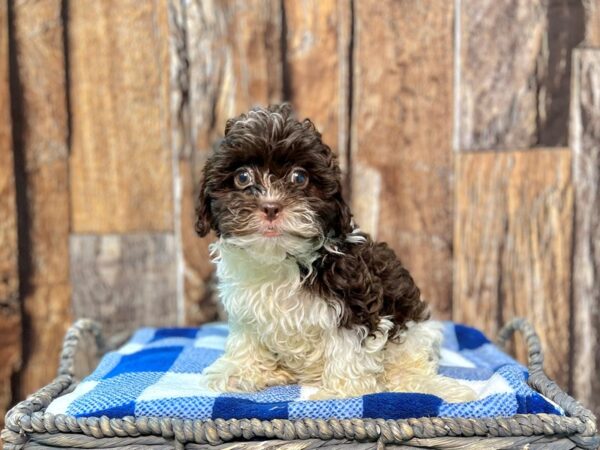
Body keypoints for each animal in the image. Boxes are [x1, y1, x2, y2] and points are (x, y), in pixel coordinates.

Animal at [196, 104, 474, 400]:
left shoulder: (354, 299)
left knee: (406, 366)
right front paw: (238, 371)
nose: (270, 207)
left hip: (411, 335)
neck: (280, 259)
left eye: (299, 177)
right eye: (242, 177)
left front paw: (341, 391)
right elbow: (247, 339)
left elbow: (348, 346)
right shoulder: (245, 306)